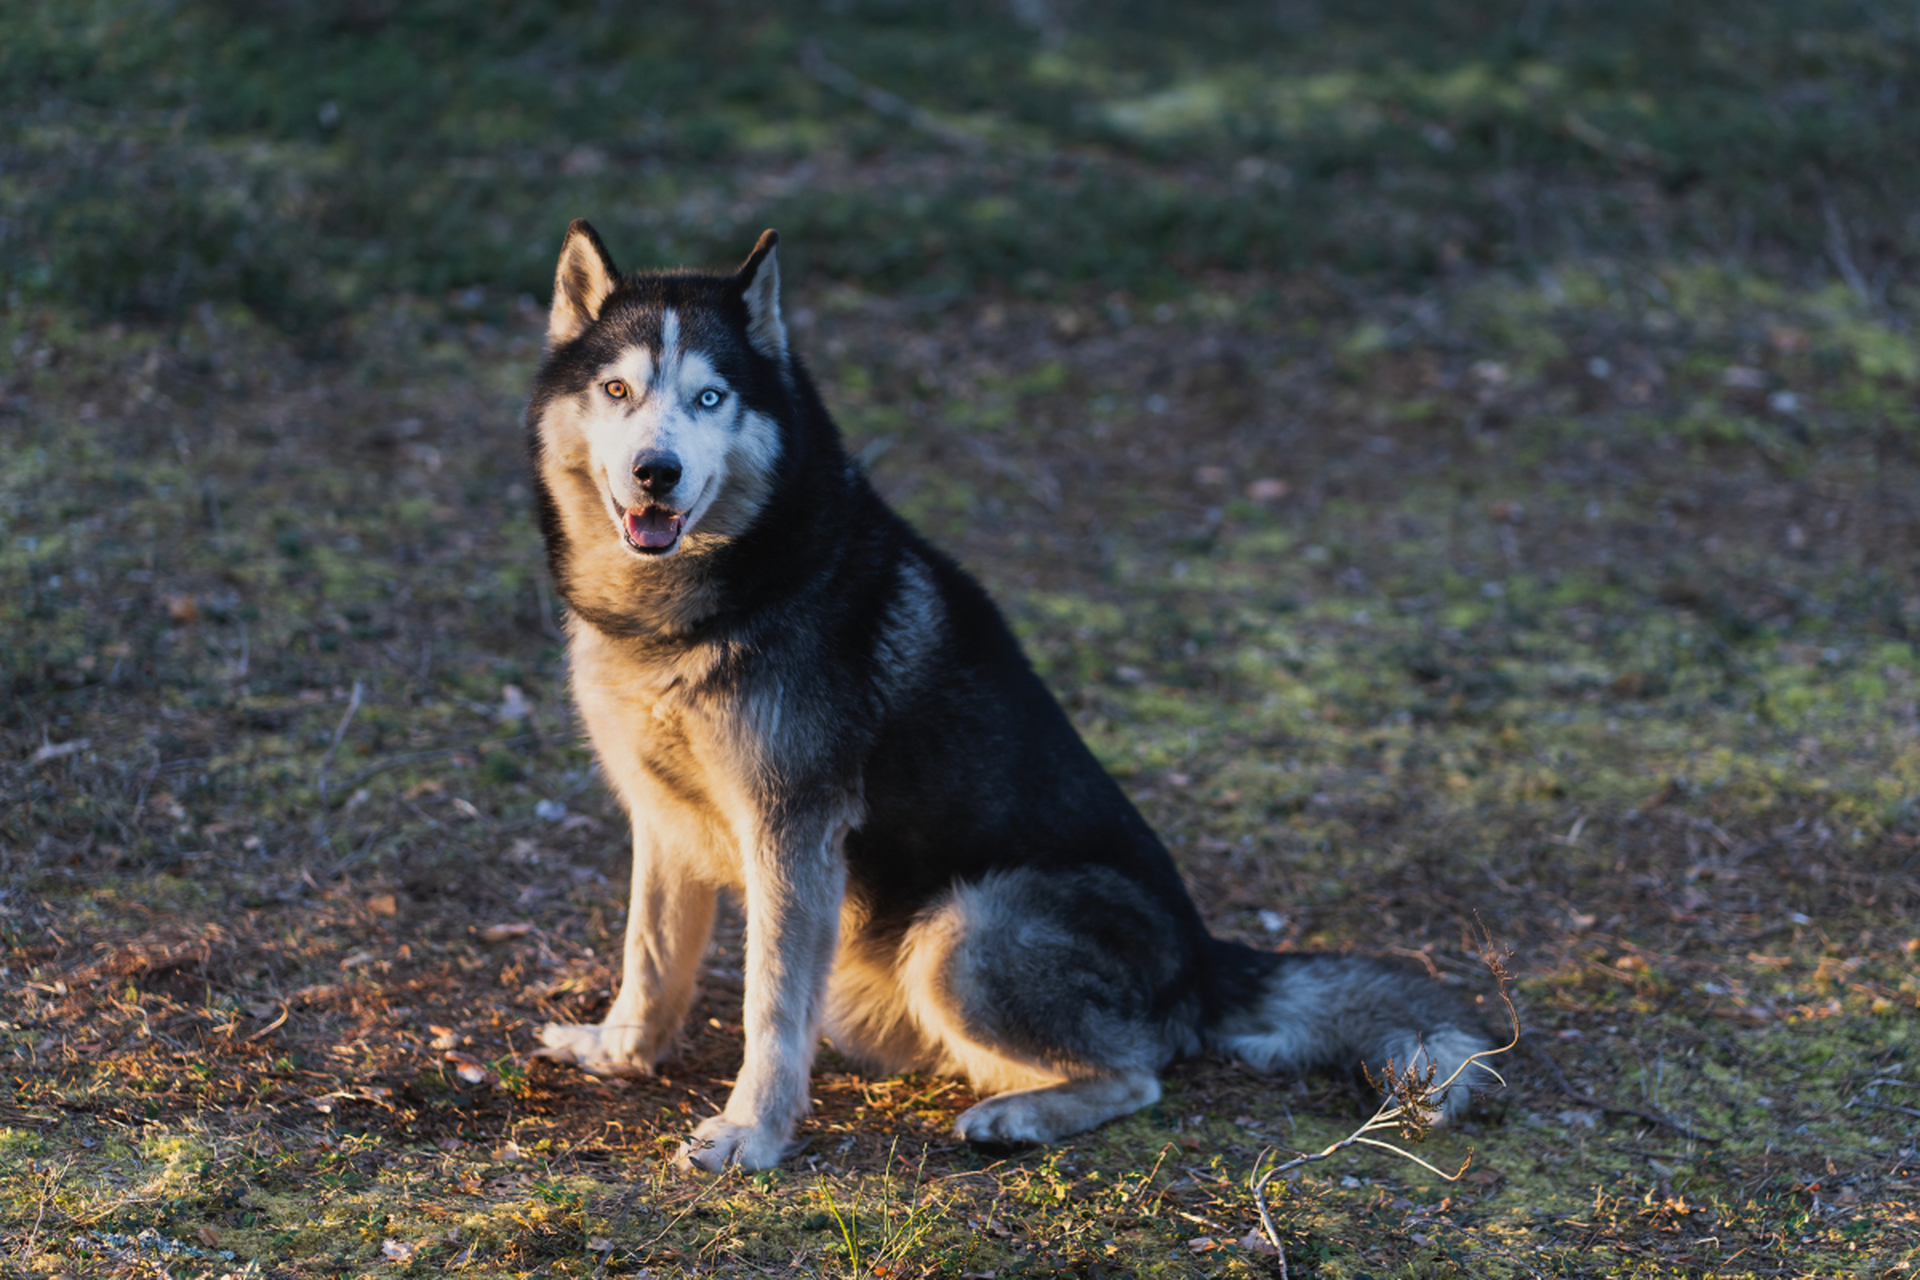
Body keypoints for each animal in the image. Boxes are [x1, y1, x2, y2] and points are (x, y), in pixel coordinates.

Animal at [529, 222, 1497, 1174]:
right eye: (618, 389)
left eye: (710, 398)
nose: (655, 473)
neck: (693, 606)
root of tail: (1204, 960)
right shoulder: (661, 816)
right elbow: (651, 958)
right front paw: (621, 1053)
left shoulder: (794, 832)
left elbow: (769, 1010)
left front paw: (753, 1134)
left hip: (961, 928)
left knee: (1140, 1075)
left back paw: (1017, 1117)